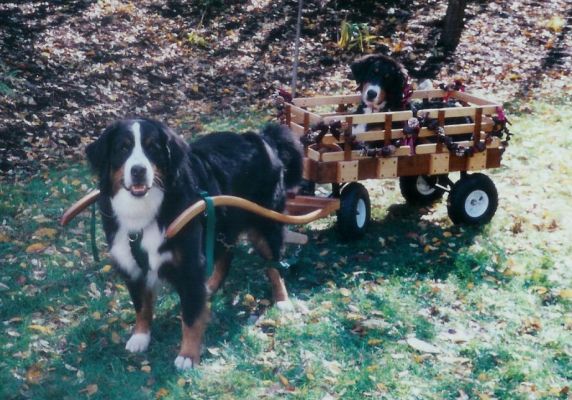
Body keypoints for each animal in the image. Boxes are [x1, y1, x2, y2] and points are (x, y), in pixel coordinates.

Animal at [85, 118, 304, 368]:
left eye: (153, 148)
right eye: (123, 148)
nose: (138, 170)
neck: (145, 212)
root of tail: (261, 137)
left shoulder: (188, 266)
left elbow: (189, 317)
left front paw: (187, 355)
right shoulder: (131, 266)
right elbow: (141, 305)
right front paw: (140, 336)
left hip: (265, 224)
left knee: (274, 266)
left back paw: (282, 300)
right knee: (227, 256)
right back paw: (209, 287)